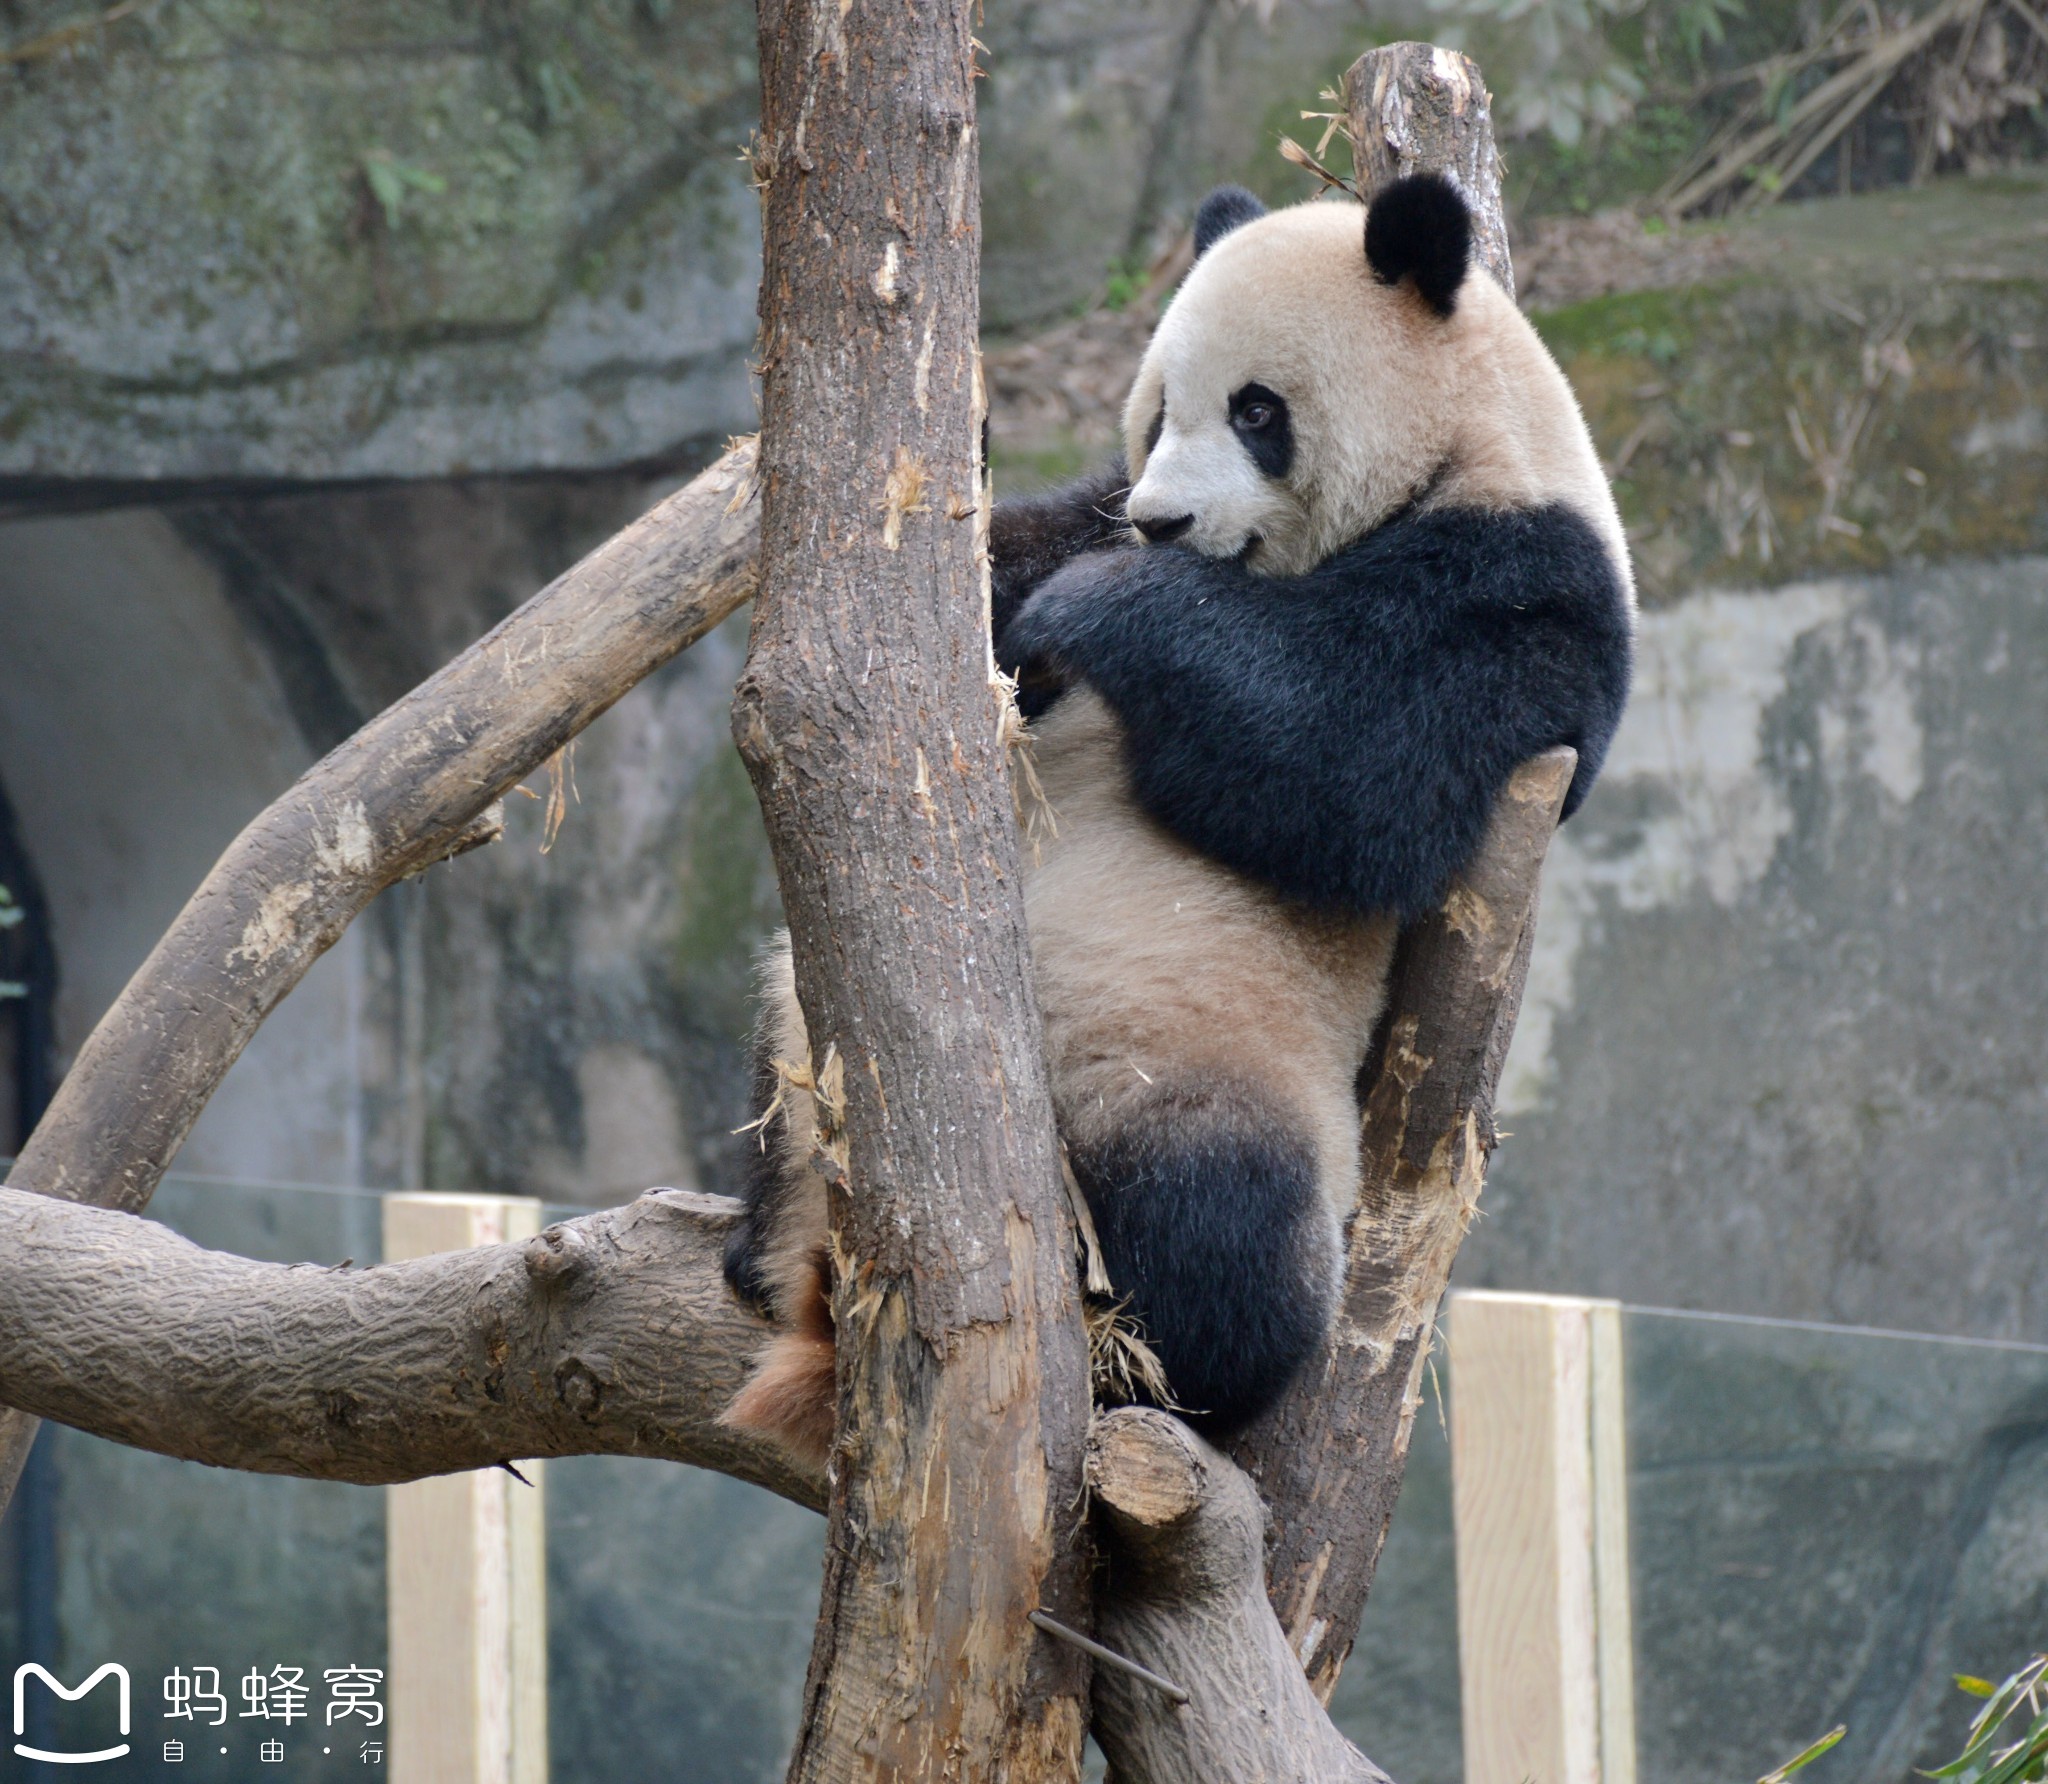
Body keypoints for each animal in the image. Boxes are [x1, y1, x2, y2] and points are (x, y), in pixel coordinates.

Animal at [716, 174, 1630, 1474]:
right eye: (1155, 417)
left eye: (1256, 411)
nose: (1159, 521)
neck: (1480, 436)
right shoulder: (1091, 503)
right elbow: (1011, 565)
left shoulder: (1527, 595)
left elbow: (1346, 769)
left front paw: (1099, 607)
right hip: (804, 1037)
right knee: (776, 1058)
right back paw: (755, 1249)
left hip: (1196, 1065)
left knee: (1226, 1226)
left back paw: (1156, 1354)